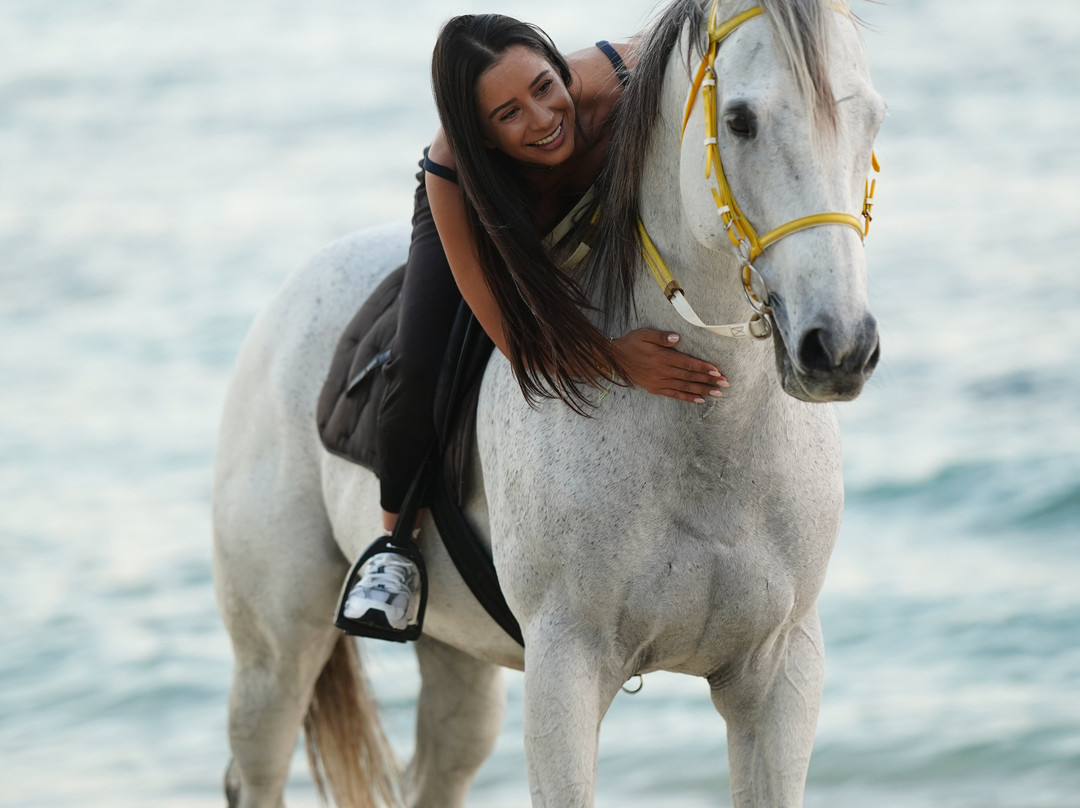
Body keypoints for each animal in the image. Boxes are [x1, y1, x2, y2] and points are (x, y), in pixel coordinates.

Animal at [211, 0, 884, 805]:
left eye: (873, 118)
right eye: (742, 120)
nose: (838, 347)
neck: (707, 441)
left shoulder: (779, 674)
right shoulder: (565, 666)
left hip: (456, 663)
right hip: (276, 651)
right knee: (258, 763)